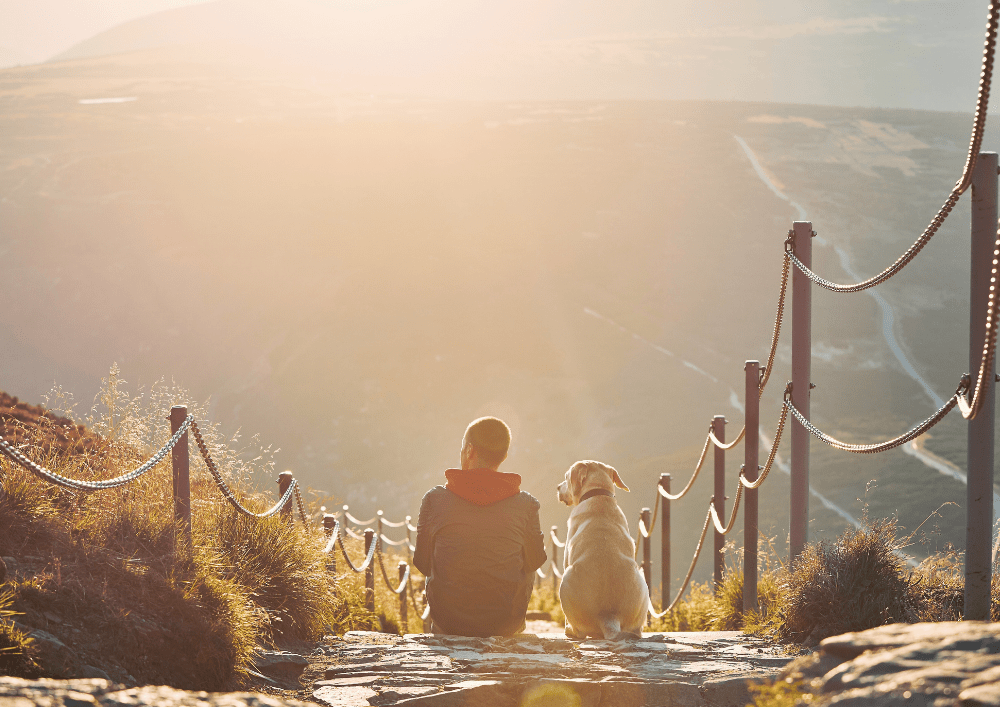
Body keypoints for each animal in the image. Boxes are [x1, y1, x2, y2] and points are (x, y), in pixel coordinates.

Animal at [556, 460, 648, 640]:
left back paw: (570, 630)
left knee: (579, 631)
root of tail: (608, 617)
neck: (598, 494)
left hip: (565, 578)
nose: (557, 487)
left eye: (566, 477)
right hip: (642, 579)